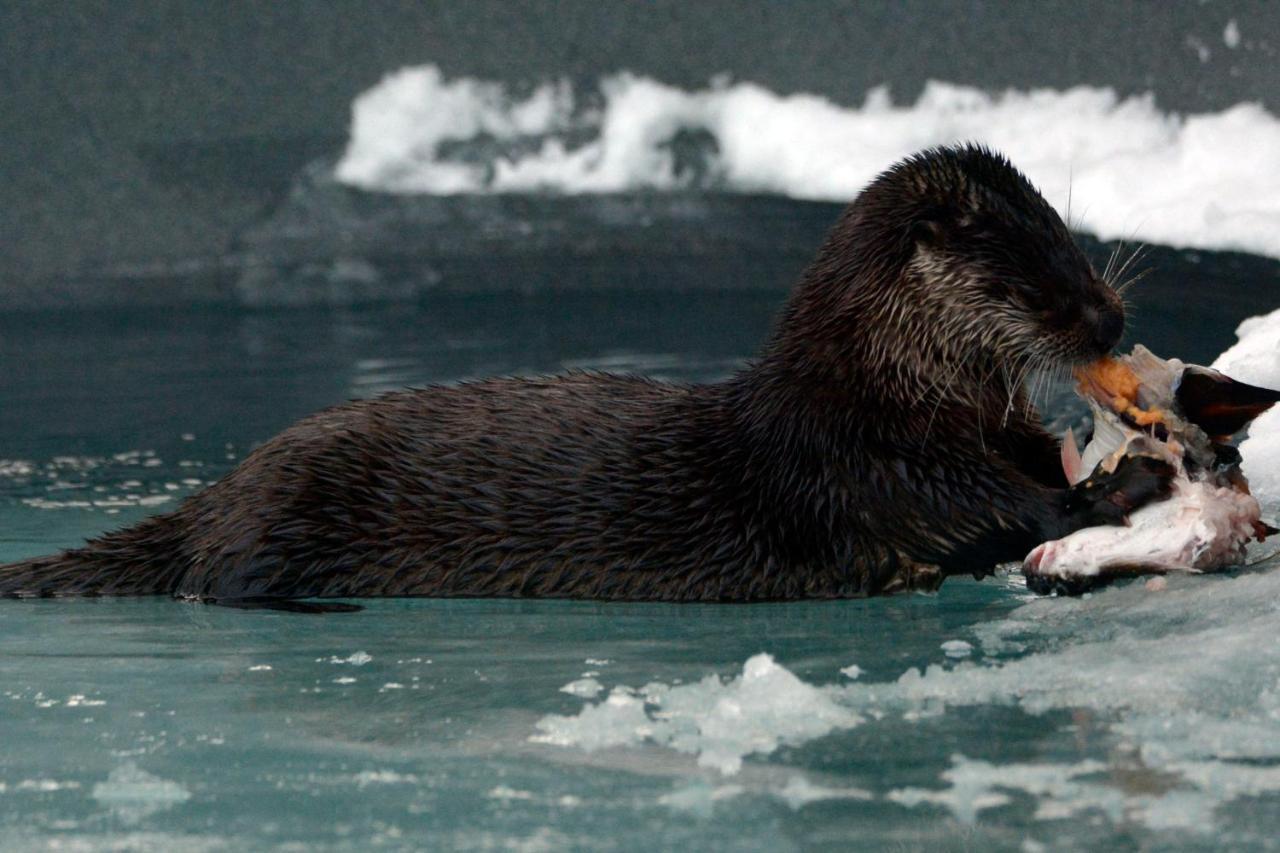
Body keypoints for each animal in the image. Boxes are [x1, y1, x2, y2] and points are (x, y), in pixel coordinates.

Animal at [0, 146, 1172, 604]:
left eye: (1072, 240)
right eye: (1037, 280)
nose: (1112, 314)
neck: (880, 397)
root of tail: (219, 491)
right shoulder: (870, 470)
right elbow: (997, 514)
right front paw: (1132, 478)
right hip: (276, 525)